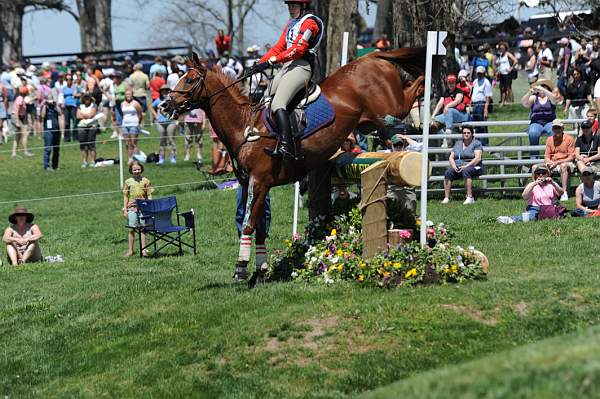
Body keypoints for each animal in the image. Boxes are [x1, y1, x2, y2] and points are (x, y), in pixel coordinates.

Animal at [162, 47, 424, 282]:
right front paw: (260, 271)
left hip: (389, 106)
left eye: (191, 80)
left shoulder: (259, 182)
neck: (244, 126)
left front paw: (241, 269)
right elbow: (259, 229)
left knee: (413, 89)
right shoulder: (254, 185)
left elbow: (248, 225)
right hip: (368, 122)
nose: (166, 104)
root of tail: (372, 57)